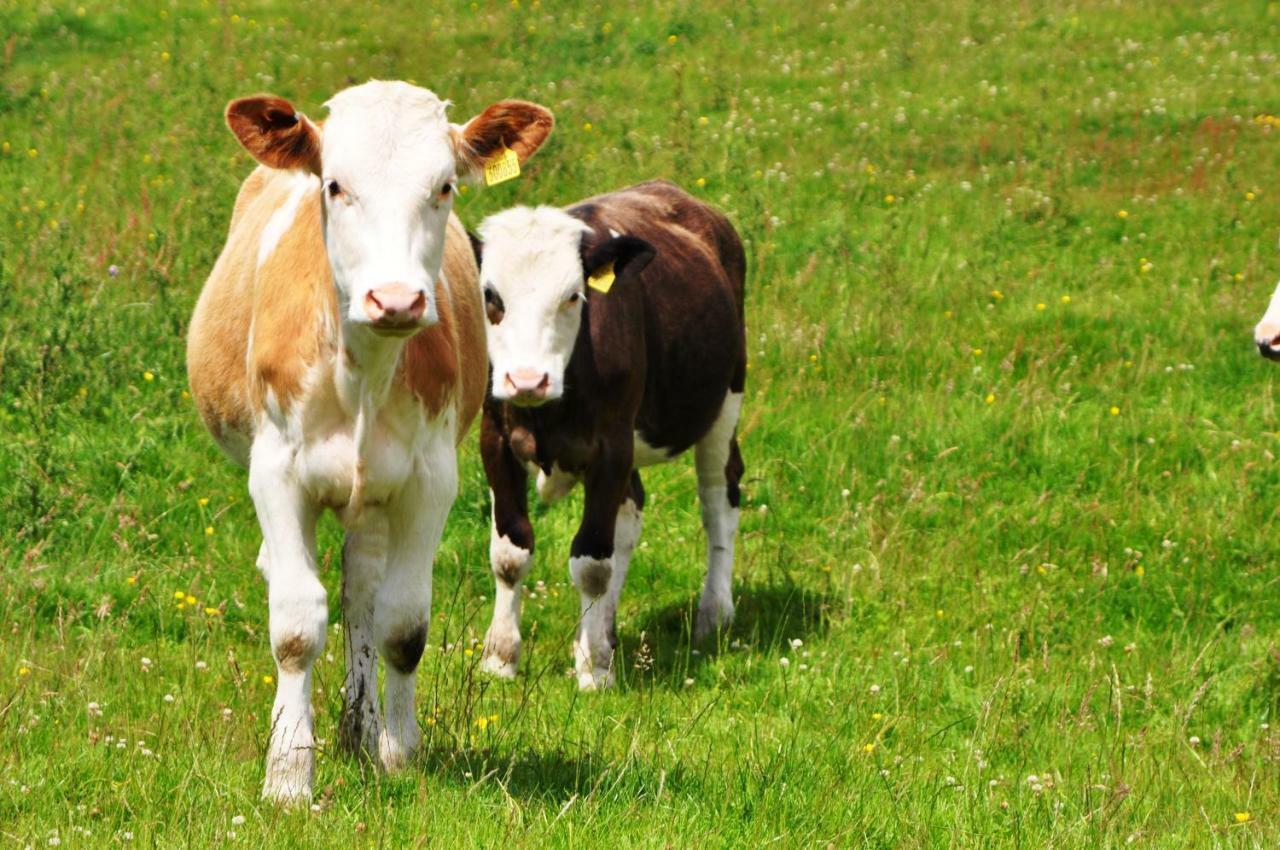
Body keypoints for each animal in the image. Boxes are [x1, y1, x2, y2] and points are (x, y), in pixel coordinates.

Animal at [186, 81, 555, 803]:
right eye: (335, 185)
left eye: (444, 186)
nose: (396, 299)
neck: (361, 369)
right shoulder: (275, 472)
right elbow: (295, 627)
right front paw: (288, 776)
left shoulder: (429, 480)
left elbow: (403, 623)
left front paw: (397, 752)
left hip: (376, 498)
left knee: (361, 588)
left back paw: (360, 728)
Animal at [476, 179, 747, 691]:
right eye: (490, 296)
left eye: (573, 296)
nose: (527, 379)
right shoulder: (494, 440)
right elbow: (510, 552)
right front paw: (500, 659)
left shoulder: (610, 447)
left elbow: (591, 563)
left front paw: (596, 669)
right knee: (629, 515)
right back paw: (603, 629)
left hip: (724, 400)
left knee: (719, 497)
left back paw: (714, 614)